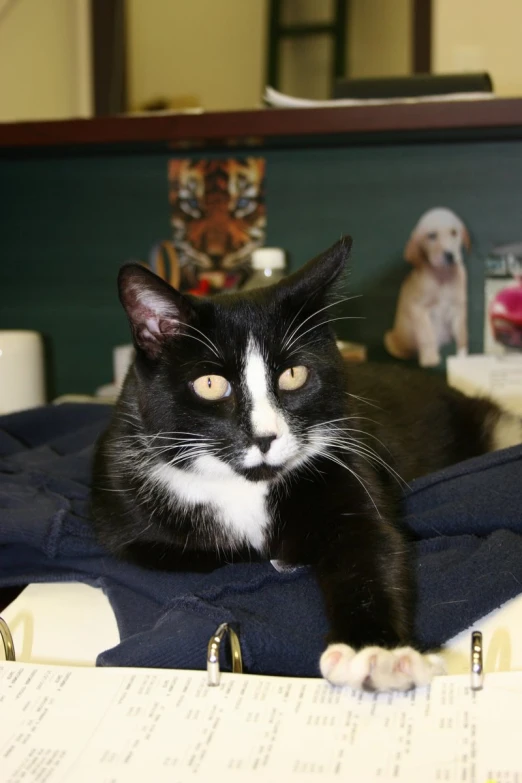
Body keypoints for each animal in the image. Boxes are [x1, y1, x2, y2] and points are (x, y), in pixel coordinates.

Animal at [90, 239, 520, 692]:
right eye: (209, 384)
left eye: (294, 375)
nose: (265, 437)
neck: (246, 485)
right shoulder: (125, 513)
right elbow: (197, 552)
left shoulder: (346, 460)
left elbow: (371, 548)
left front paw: (374, 654)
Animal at [382, 208, 472, 368]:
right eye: (431, 236)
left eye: (454, 232)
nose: (449, 255)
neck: (443, 275)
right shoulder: (418, 308)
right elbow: (427, 334)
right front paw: (430, 359)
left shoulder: (459, 307)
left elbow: (462, 333)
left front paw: (463, 357)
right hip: (391, 338)